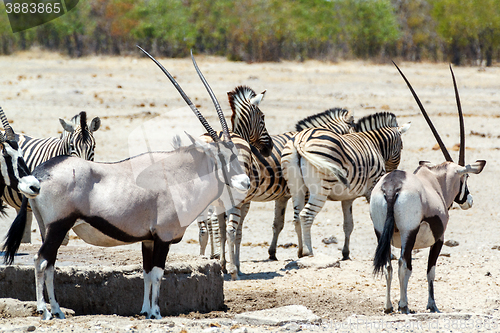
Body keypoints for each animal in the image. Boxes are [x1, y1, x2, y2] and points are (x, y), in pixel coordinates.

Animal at [282, 111, 410, 260]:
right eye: (402, 147)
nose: (390, 174)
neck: (374, 144)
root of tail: (300, 140)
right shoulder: (372, 189)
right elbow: (379, 221)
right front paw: (388, 254)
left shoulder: (347, 197)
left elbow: (348, 225)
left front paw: (346, 253)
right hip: (319, 189)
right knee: (306, 215)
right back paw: (309, 252)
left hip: (296, 187)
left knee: (297, 218)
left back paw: (301, 251)